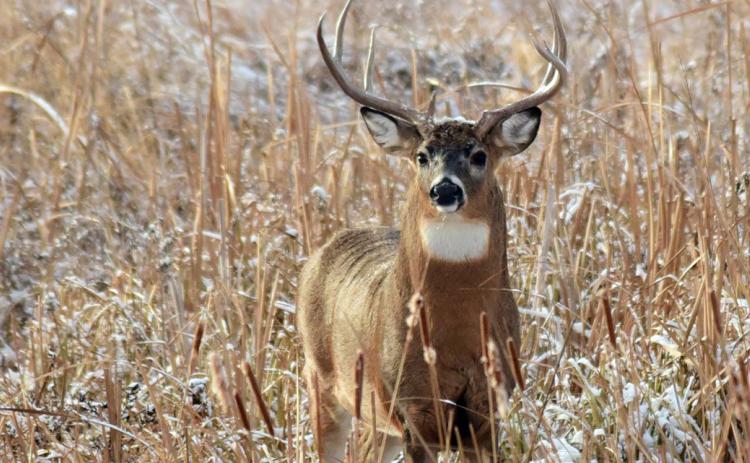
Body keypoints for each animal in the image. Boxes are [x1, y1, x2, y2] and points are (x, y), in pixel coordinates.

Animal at [297, 1, 567, 461]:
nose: (445, 189)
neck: (454, 336)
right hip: (323, 382)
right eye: (422, 156)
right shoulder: (413, 406)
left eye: (478, 155)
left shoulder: (489, 407)